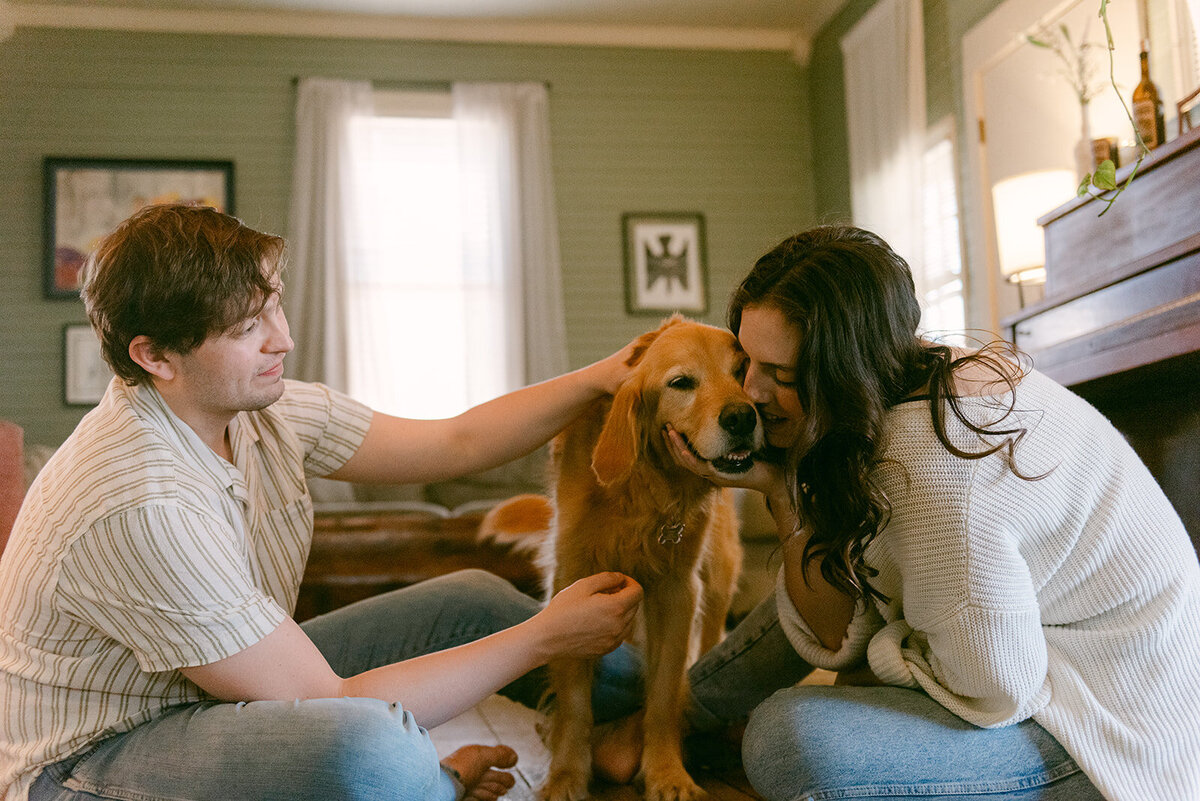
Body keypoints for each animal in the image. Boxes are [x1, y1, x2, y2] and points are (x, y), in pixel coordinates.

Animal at [477, 314, 758, 801]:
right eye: (681, 382)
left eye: (742, 371)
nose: (742, 416)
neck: (641, 488)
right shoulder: (574, 581)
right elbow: (575, 702)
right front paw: (566, 776)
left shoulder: (677, 592)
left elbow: (663, 694)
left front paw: (666, 773)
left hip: (718, 577)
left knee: (708, 640)